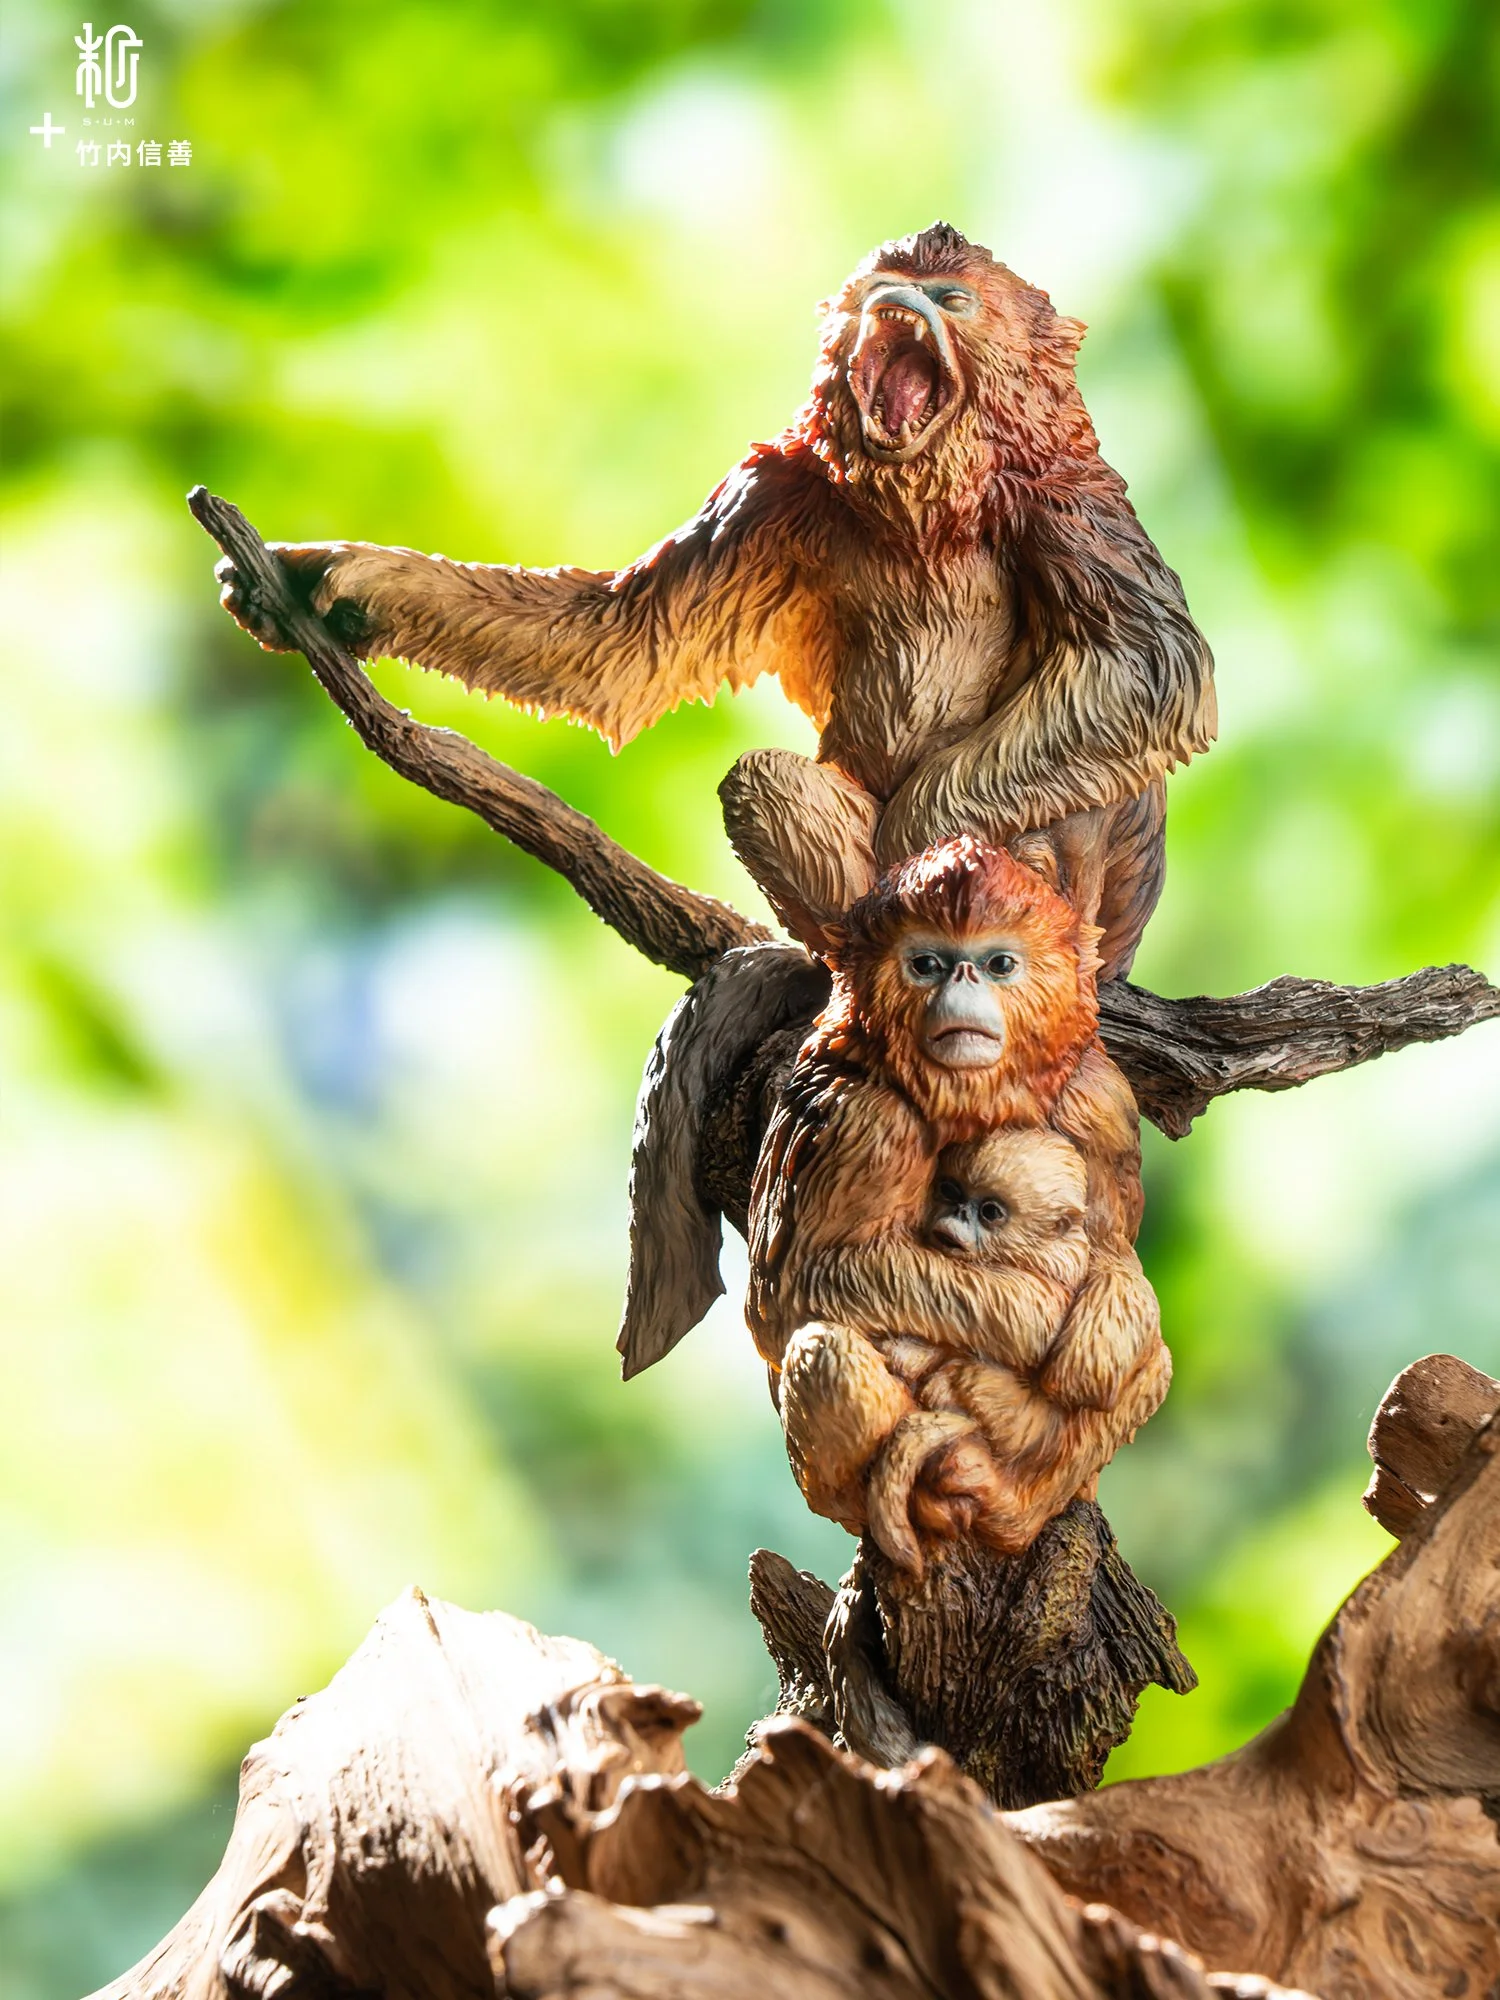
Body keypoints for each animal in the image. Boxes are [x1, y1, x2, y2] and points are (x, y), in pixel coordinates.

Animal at [214, 221, 1214, 979]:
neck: (924, 504)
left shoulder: (1064, 499)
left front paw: (926, 840)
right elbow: (621, 642)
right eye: (882, 289)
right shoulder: (776, 490)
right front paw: (343, 576)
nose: (898, 304)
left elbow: (1154, 671)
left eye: (951, 298)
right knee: (765, 782)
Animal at [748, 836, 1169, 1572]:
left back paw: (1009, 1504)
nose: (961, 983)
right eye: (927, 963)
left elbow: (1118, 1257)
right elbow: (788, 1292)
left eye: (999, 963)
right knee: (824, 1347)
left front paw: (1097, 1332)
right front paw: (1035, 1314)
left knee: (1154, 1359)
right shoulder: (870, 1119)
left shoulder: (1101, 1097)